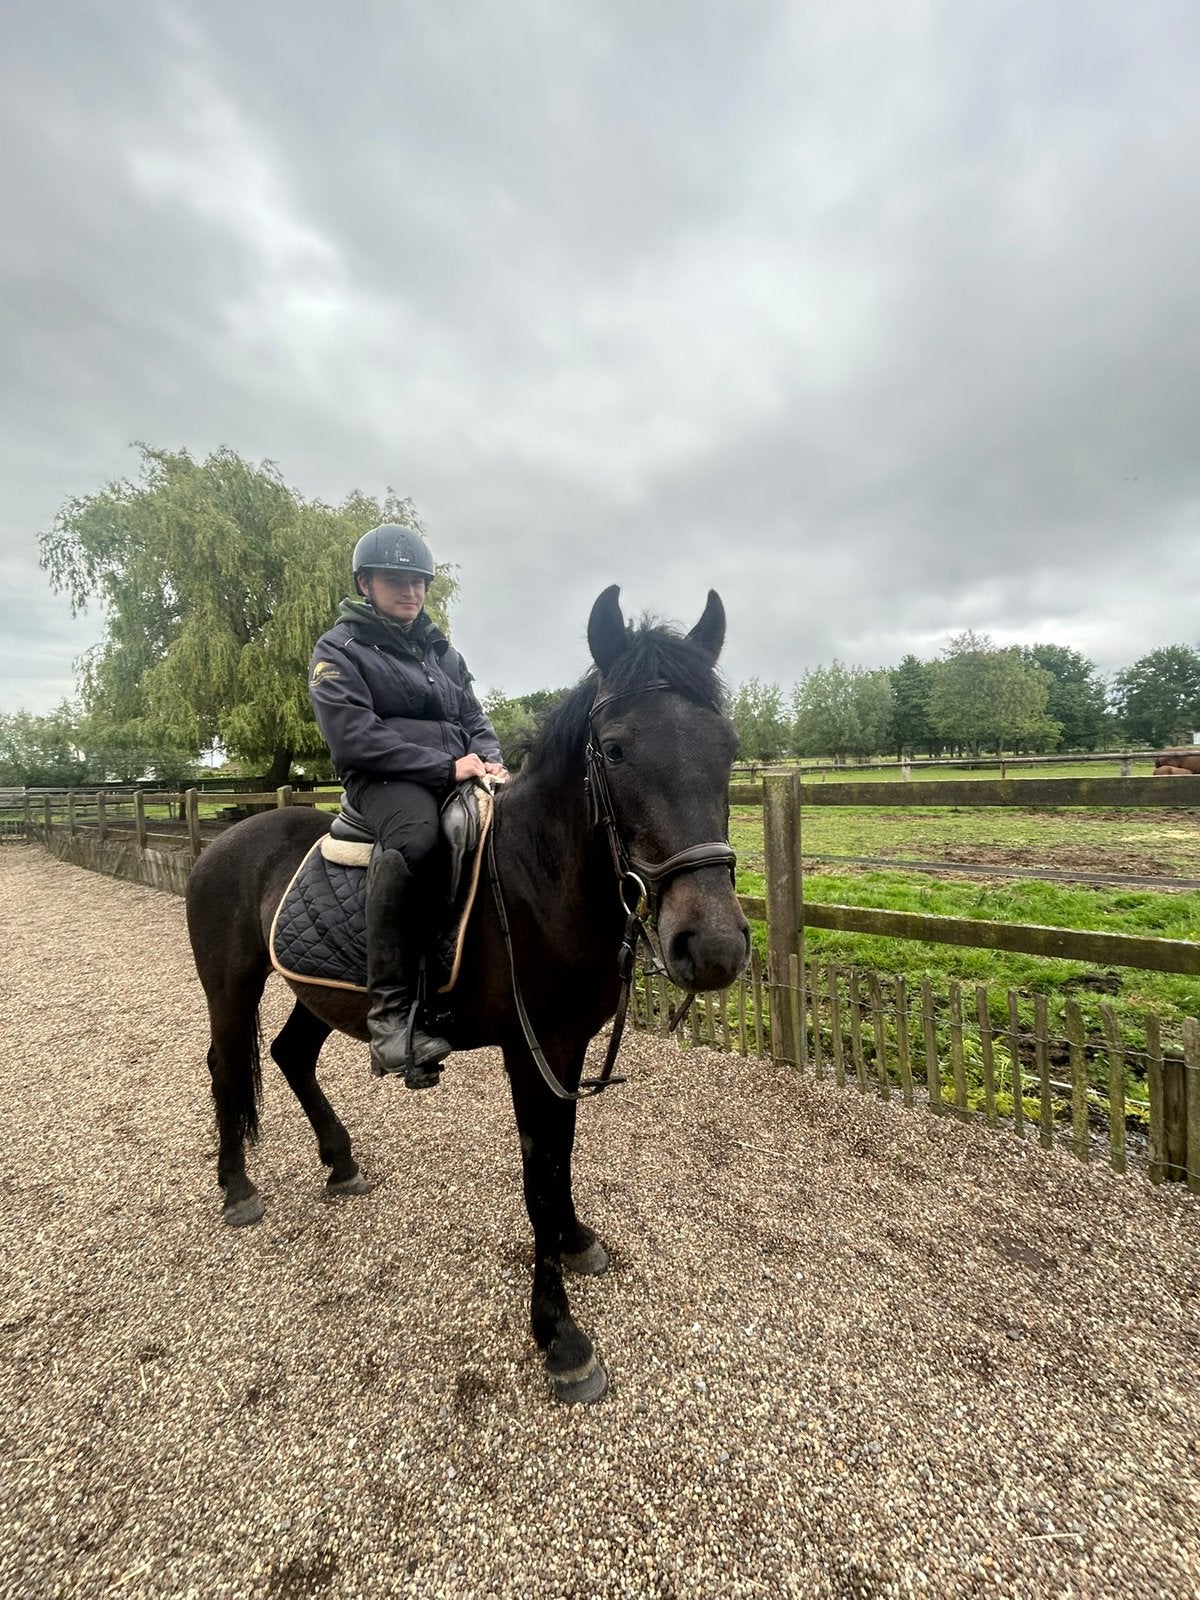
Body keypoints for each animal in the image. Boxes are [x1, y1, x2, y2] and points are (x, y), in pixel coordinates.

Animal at [185, 585, 750, 1402]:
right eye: (614, 749)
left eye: (728, 747)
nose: (713, 948)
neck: (537, 880)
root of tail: (223, 840)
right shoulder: (532, 1053)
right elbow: (539, 1178)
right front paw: (561, 1338)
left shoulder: (564, 1051)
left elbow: (561, 1160)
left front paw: (576, 1242)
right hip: (230, 989)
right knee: (229, 1069)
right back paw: (236, 1190)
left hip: (320, 993)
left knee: (291, 1055)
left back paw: (341, 1164)